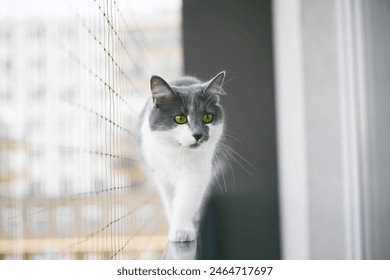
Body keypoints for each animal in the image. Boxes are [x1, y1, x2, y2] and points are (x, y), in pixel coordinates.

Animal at [139, 71, 225, 242]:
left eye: (208, 117)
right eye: (180, 118)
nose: (198, 135)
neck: (179, 154)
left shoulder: (197, 173)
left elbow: (186, 202)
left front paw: (181, 230)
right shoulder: (161, 175)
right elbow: (170, 202)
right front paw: (175, 224)